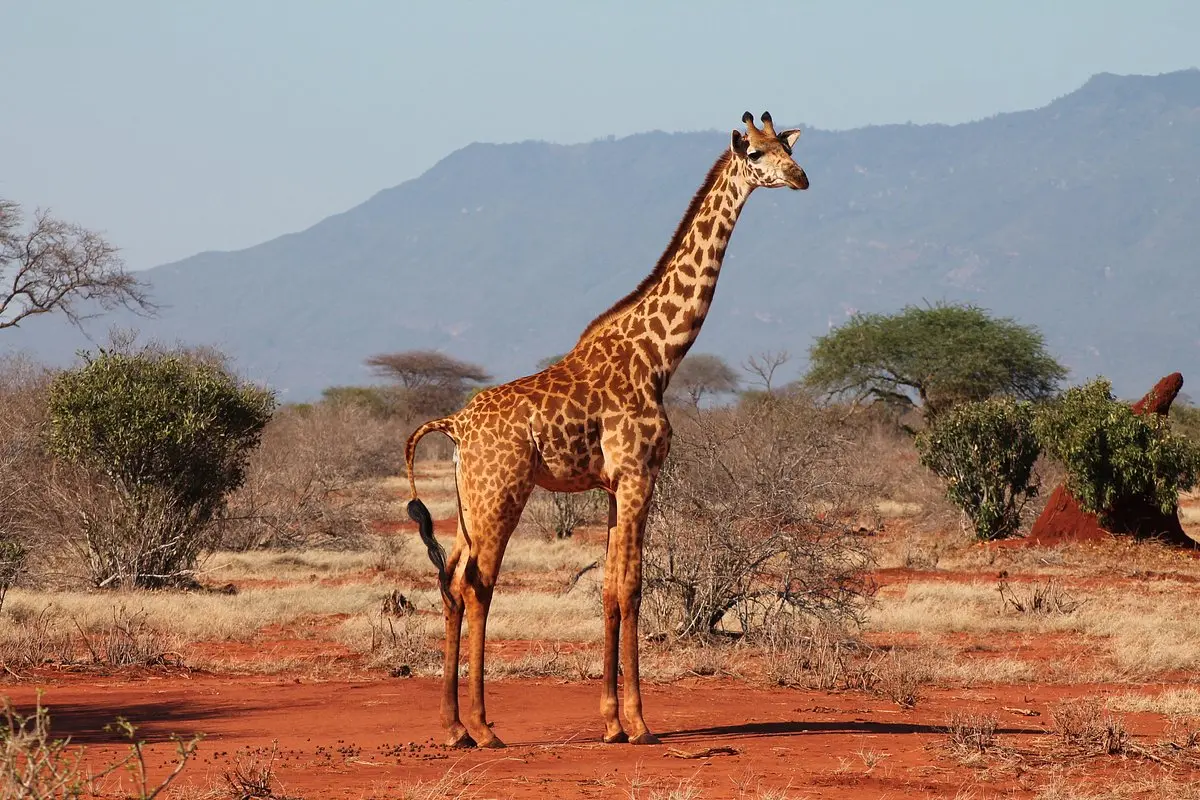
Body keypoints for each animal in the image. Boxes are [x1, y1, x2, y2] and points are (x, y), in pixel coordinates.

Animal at [405, 111, 809, 748]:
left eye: (785, 148)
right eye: (756, 155)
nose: (801, 177)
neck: (659, 356)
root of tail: (456, 424)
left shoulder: (617, 485)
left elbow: (610, 589)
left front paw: (611, 721)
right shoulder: (640, 474)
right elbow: (634, 587)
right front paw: (640, 723)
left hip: (473, 499)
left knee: (450, 576)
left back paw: (453, 727)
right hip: (502, 494)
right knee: (477, 583)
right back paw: (485, 727)